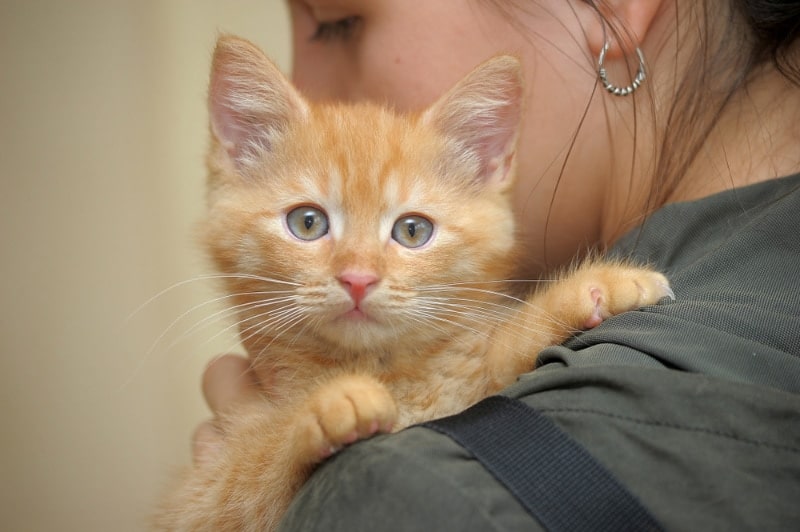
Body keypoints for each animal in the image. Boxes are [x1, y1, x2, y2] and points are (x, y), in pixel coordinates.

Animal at [155, 35, 668, 528]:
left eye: (412, 231)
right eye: (307, 223)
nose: (358, 278)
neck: (388, 371)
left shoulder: (468, 378)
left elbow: (498, 351)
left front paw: (594, 288)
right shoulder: (197, 503)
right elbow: (245, 477)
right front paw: (328, 405)